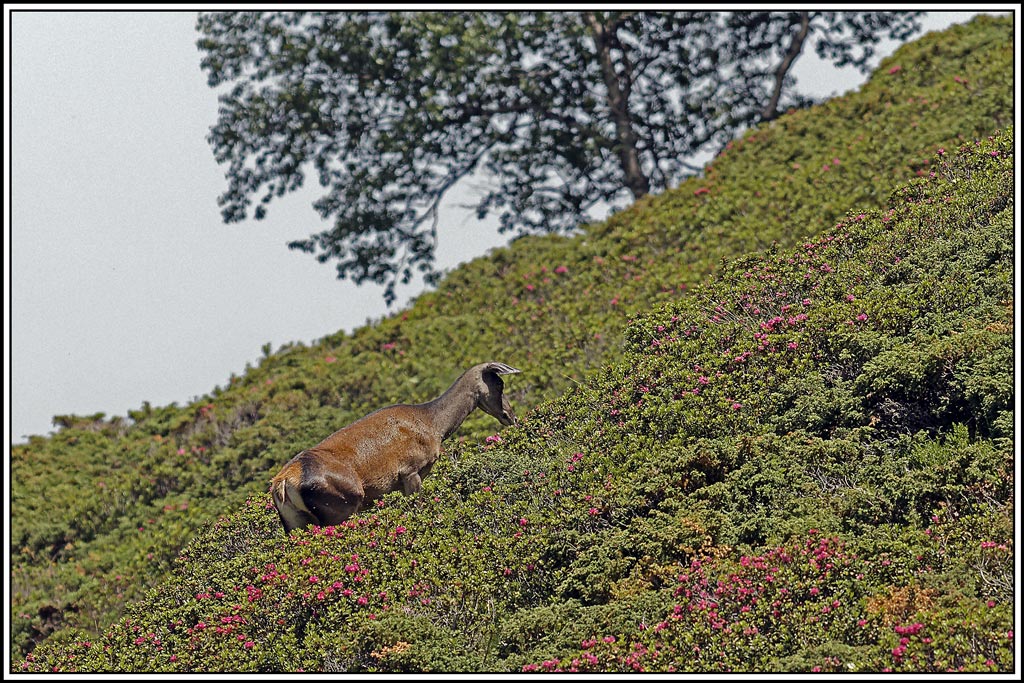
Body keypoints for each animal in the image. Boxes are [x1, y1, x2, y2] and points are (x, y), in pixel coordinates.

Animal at [270, 361, 521, 533]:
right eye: (499, 383)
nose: (511, 416)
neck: (434, 426)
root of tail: (283, 484)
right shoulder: (409, 471)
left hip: (294, 521)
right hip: (342, 505)